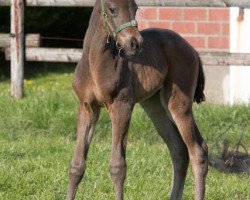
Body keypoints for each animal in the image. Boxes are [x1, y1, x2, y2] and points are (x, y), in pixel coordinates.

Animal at [65, 0, 208, 200]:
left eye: (136, 8)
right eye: (113, 9)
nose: (135, 43)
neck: (95, 65)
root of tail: (192, 48)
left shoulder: (122, 106)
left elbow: (117, 166)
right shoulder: (87, 107)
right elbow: (77, 165)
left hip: (179, 103)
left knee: (197, 151)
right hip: (156, 107)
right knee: (179, 150)